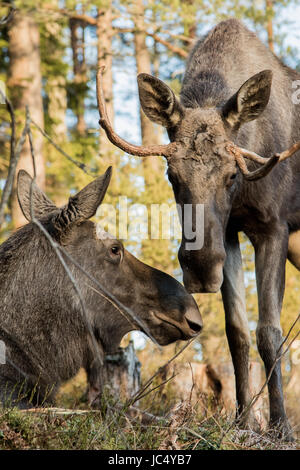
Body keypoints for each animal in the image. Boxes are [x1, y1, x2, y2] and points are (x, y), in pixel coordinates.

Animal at [98, 18, 300, 436]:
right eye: (172, 176)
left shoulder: (273, 226)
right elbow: (237, 332)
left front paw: (280, 427)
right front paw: (243, 419)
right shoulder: (231, 233)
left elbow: (269, 332)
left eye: (231, 175)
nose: (201, 268)